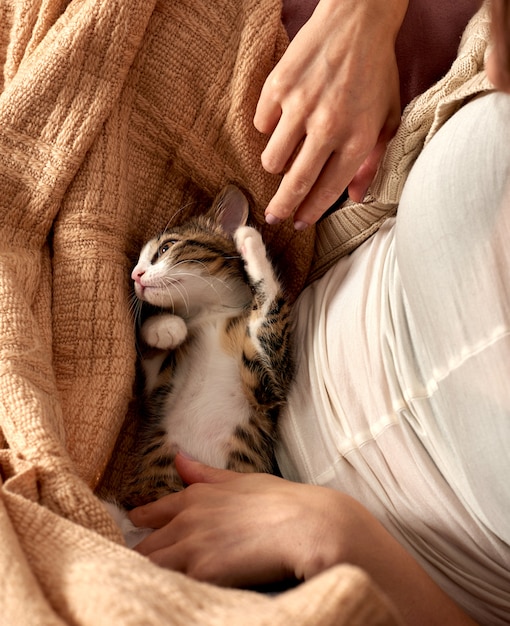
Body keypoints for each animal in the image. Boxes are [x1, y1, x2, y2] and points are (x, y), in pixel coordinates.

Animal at [103, 185, 292, 544]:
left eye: (166, 248)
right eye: (138, 262)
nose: (135, 275)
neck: (209, 315)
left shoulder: (268, 385)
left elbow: (270, 312)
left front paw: (251, 245)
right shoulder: (158, 388)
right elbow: (150, 353)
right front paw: (165, 327)